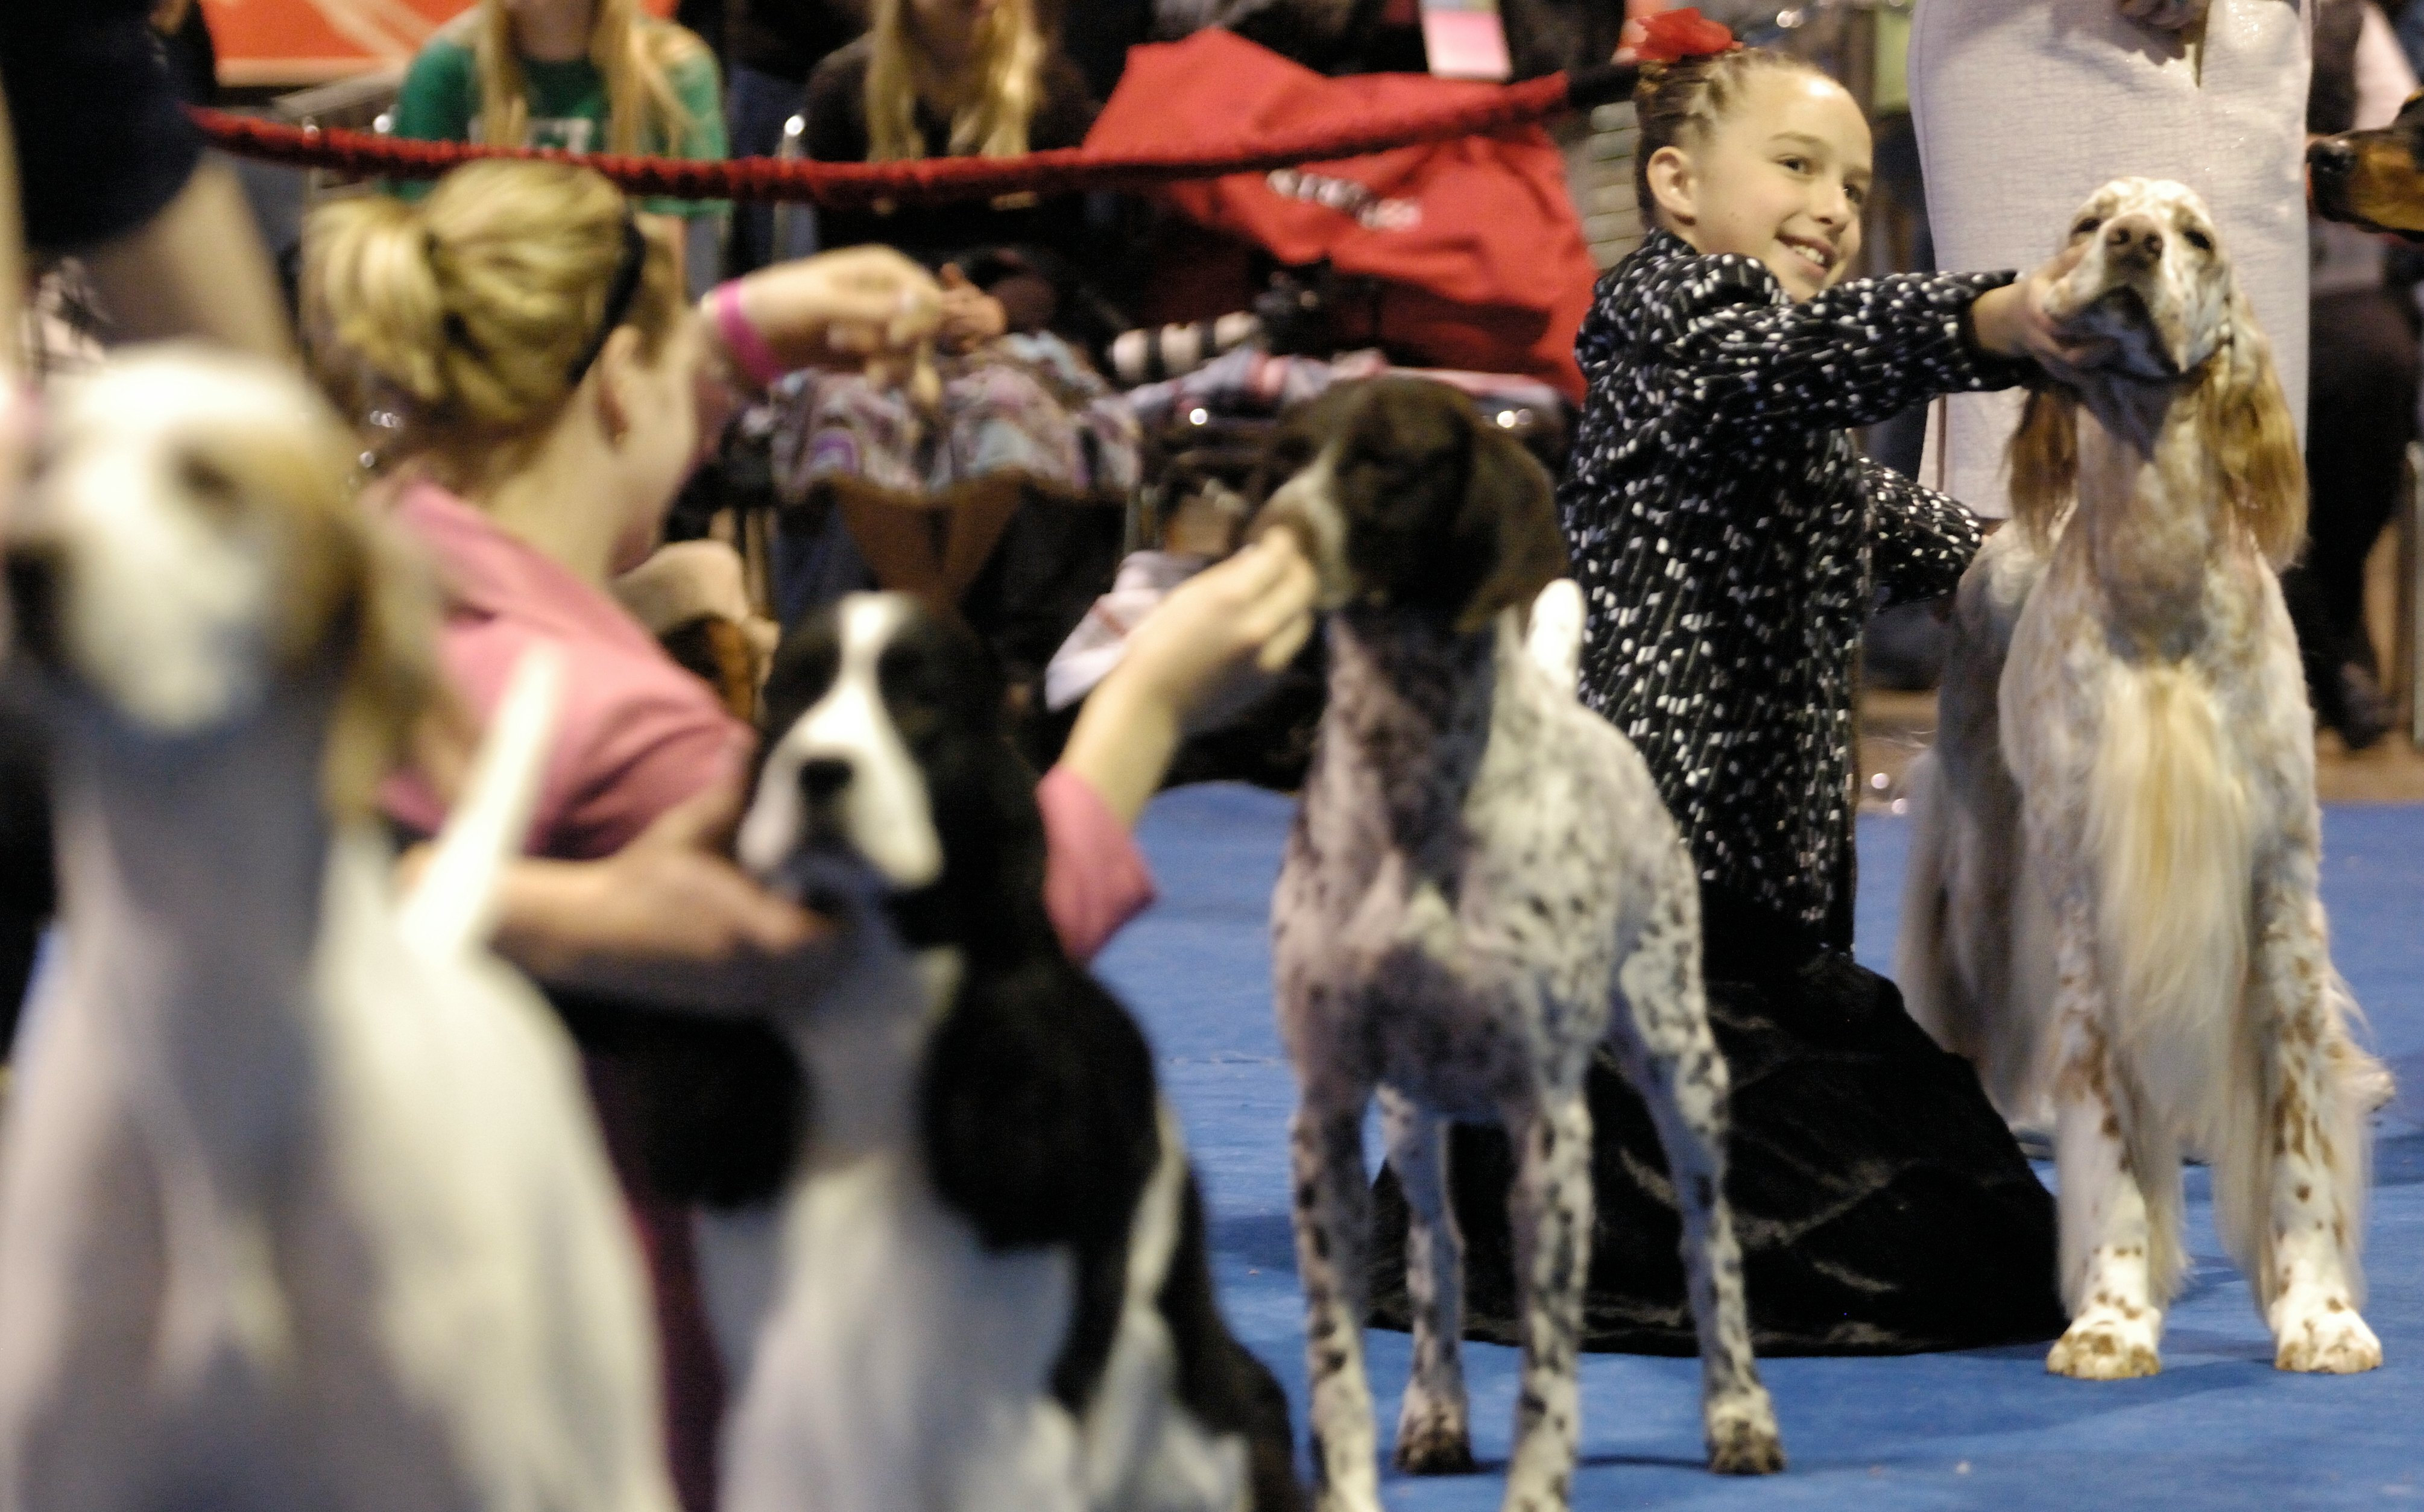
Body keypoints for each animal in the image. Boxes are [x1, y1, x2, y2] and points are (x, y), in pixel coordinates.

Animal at [1260, 378, 1793, 1512]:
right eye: (1282, 458)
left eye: (1386, 463)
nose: (1270, 532)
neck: (1413, 781)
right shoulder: (1326, 1112)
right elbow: (1339, 1369)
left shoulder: (1551, 1129)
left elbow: (1551, 1375)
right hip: (1414, 1120)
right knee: (1437, 1252)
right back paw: (1436, 1409)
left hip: (1682, 1066)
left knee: (1710, 1243)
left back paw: (1739, 1412)